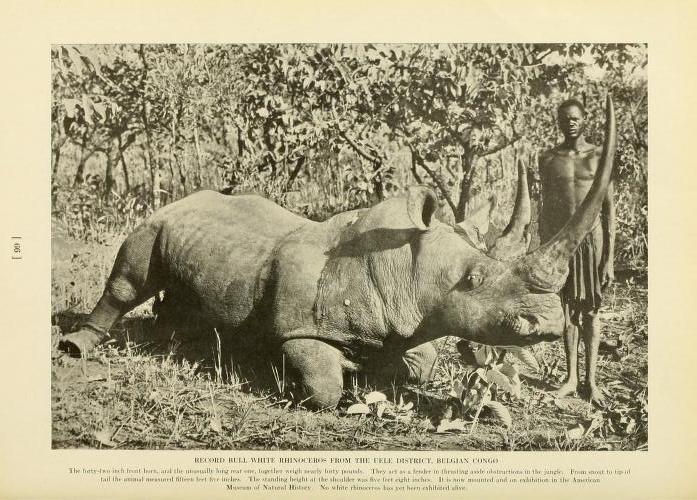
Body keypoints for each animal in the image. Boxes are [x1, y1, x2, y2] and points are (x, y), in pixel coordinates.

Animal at [60, 96, 616, 409]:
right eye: (472, 282)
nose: (548, 322)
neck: (406, 264)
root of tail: (181, 199)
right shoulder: (299, 327)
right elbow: (323, 387)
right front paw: (284, 380)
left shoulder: (410, 321)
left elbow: (420, 364)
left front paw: (379, 371)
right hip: (153, 220)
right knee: (131, 277)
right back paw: (77, 349)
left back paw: (181, 338)